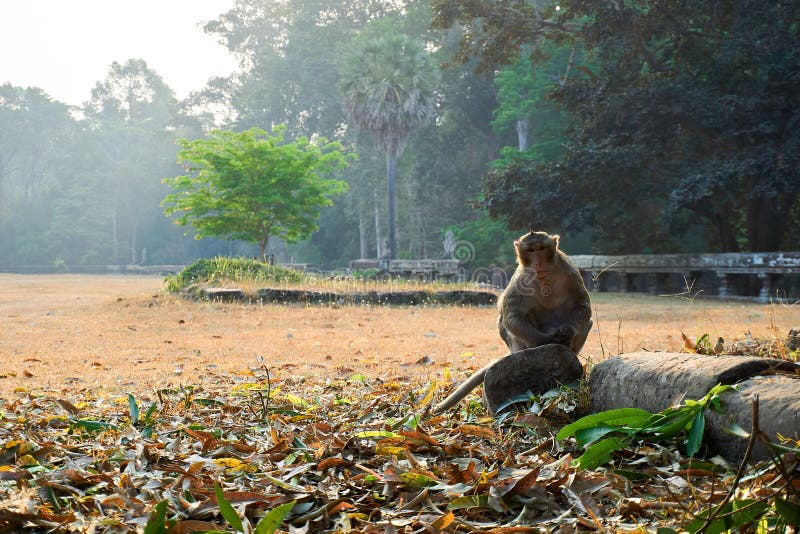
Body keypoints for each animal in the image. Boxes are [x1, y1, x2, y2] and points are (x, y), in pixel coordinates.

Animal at [432, 229, 592, 414]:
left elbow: (582, 305)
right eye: (531, 250)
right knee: (506, 322)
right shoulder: (521, 278)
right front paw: (545, 339)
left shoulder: (569, 270)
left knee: (587, 322)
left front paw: (569, 331)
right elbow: (510, 316)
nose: (538, 263)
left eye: (541, 248)